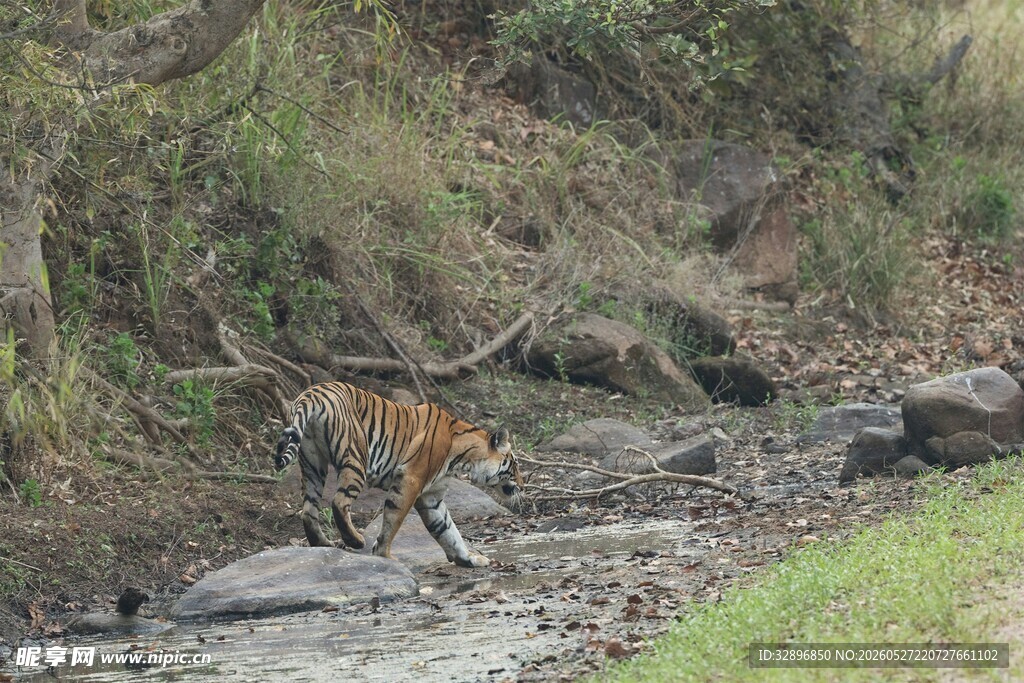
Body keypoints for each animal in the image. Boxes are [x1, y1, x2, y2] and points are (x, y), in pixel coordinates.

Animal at [273, 381, 523, 568]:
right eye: (516, 464)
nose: (522, 484)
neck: (463, 456)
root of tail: (310, 393)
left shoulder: (431, 497)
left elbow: (447, 530)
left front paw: (469, 558)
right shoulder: (410, 480)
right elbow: (393, 521)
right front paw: (383, 555)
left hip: (313, 465)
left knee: (308, 510)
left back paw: (323, 543)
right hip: (355, 457)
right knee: (339, 502)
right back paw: (355, 540)